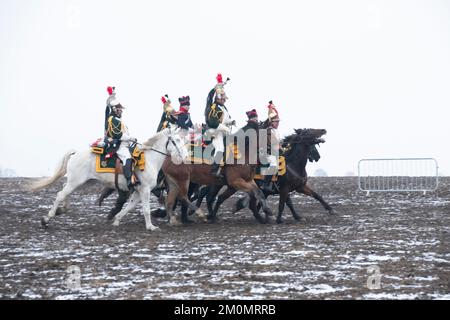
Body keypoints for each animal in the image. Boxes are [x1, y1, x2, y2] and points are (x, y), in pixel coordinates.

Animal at [27, 127, 203, 230]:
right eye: (176, 140)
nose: (186, 157)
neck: (150, 159)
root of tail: (76, 153)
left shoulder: (138, 191)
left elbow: (129, 207)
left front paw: (117, 220)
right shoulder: (145, 190)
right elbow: (145, 210)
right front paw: (151, 227)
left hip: (75, 182)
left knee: (64, 195)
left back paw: (61, 210)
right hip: (75, 181)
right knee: (60, 195)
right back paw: (47, 219)